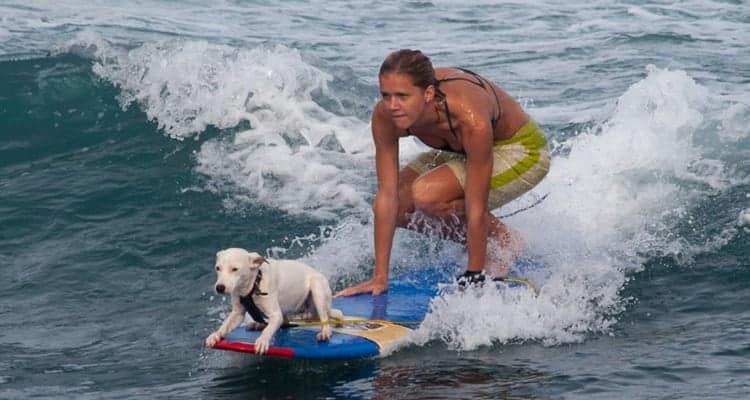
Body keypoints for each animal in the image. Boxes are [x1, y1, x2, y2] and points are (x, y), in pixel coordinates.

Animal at [203, 248, 344, 354]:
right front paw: (216, 335)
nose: (219, 287)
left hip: (317, 289)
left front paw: (262, 341)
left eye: (235, 269)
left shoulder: (276, 314)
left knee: (326, 317)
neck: (254, 285)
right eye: (218, 268)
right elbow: (225, 325)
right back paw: (257, 324)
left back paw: (325, 332)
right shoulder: (237, 313)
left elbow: (269, 329)